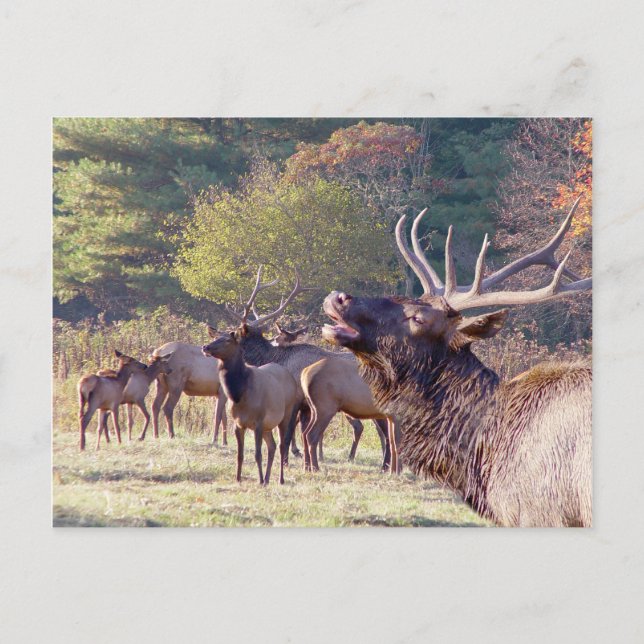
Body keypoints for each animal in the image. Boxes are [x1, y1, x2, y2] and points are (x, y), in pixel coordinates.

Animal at [202, 331, 299, 485]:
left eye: (227, 340)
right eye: (216, 337)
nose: (205, 347)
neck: (239, 394)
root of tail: (291, 378)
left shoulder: (258, 421)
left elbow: (257, 454)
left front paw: (259, 480)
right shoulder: (238, 424)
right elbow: (239, 455)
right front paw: (238, 479)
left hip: (286, 414)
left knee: (281, 446)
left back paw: (280, 479)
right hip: (268, 425)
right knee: (272, 446)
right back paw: (267, 479)